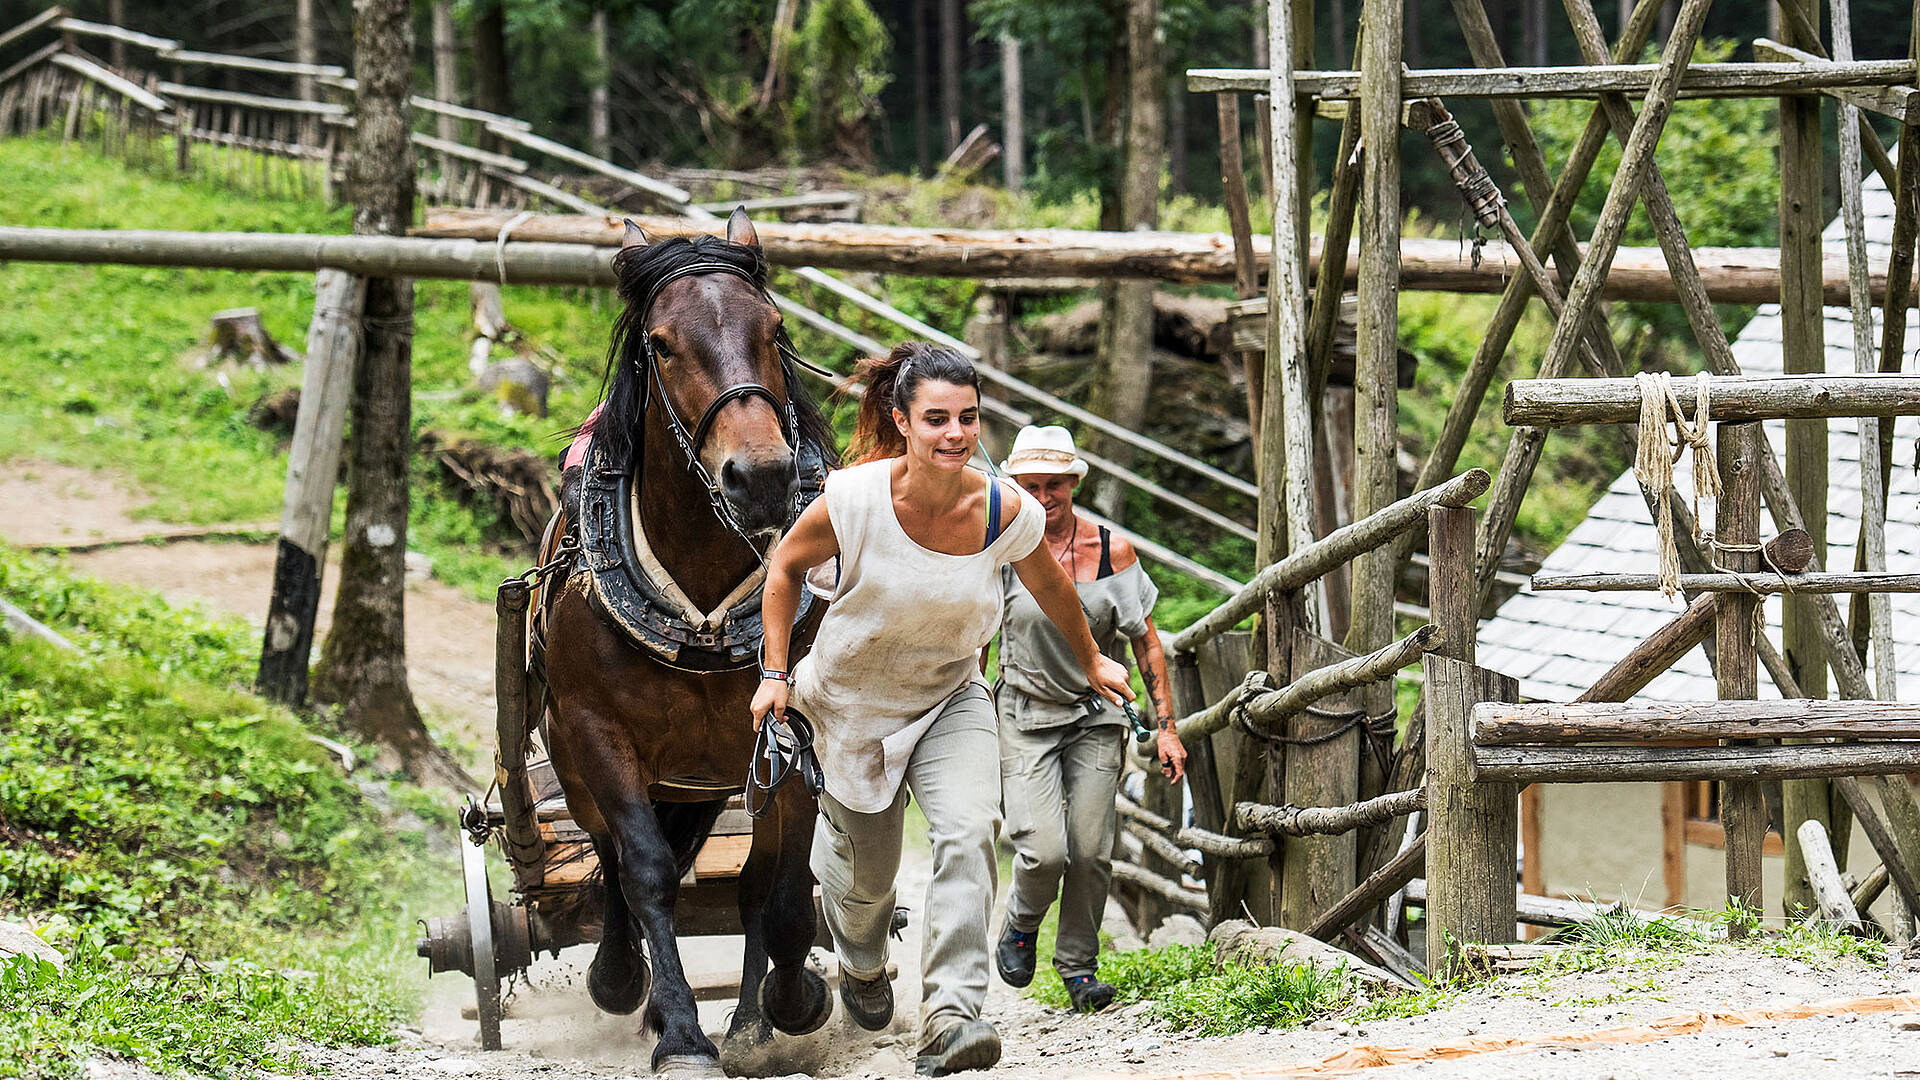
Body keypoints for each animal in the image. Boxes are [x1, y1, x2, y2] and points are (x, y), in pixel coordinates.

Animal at [541, 210, 840, 1068]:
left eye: (774, 330)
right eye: (664, 343)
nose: (763, 477)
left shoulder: (790, 737)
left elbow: (775, 886)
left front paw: (781, 1007)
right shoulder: (595, 730)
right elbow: (641, 871)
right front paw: (678, 1030)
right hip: (573, 758)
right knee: (615, 858)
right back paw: (621, 977)